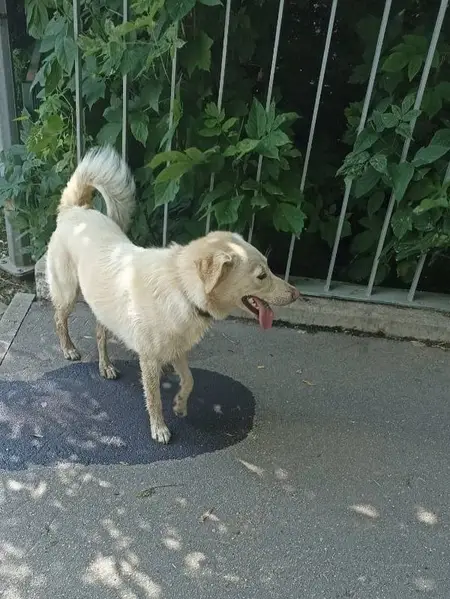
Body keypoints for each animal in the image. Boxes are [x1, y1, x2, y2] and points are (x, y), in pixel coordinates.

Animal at [46, 146, 301, 443]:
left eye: (270, 268)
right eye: (261, 275)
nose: (296, 294)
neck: (181, 288)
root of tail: (75, 210)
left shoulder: (177, 348)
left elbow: (189, 379)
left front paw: (180, 404)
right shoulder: (149, 359)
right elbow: (154, 398)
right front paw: (159, 428)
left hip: (104, 309)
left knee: (99, 334)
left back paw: (105, 366)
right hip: (67, 292)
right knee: (59, 320)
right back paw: (68, 349)